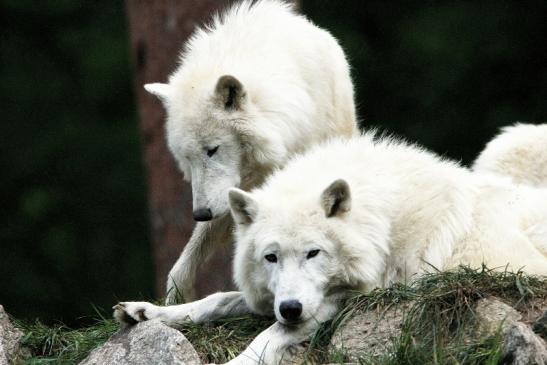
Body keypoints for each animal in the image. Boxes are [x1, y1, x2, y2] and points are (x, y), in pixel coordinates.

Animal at [114, 131, 547, 364]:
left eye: (313, 253)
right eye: (271, 257)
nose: (291, 308)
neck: (383, 221)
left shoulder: (357, 295)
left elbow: (269, 333)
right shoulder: (279, 297)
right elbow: (216, 300)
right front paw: (149, 311)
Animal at [144, 0, 360, 302]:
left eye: (212, 149)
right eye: (187, 159)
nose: (200, 213)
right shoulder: (228, 193)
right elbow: (194, 248)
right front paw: (174, 298)